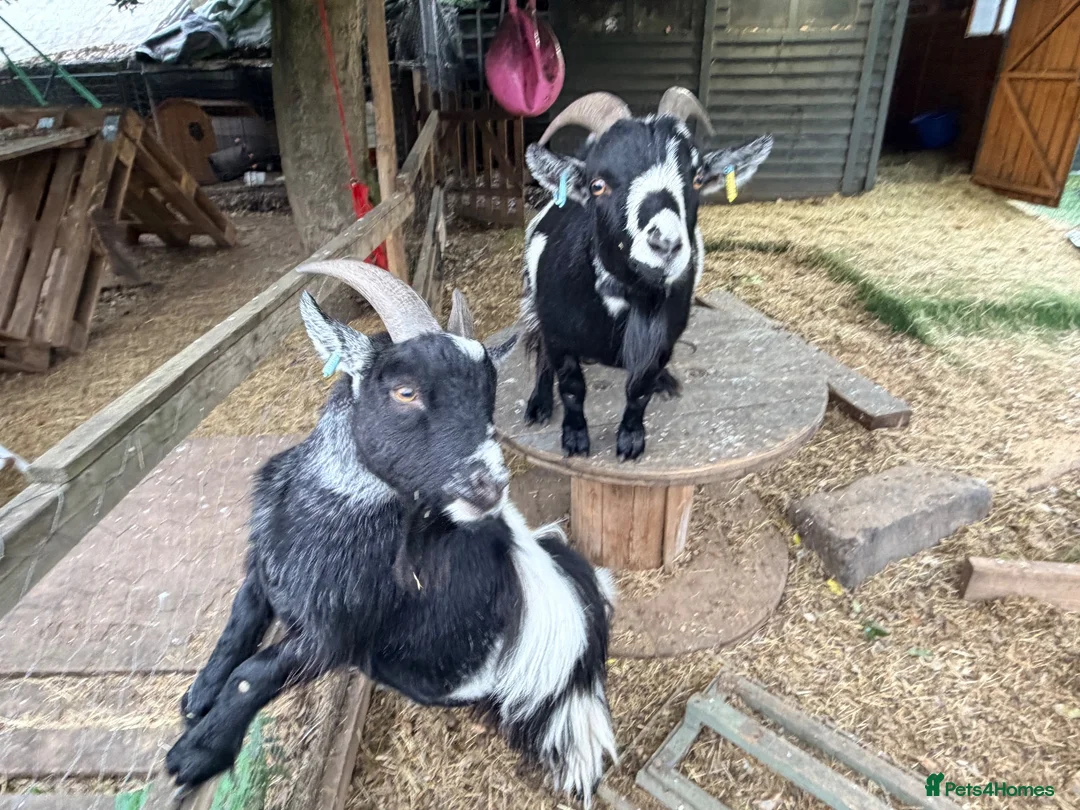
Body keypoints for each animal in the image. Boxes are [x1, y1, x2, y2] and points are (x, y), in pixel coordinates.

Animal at [165, 261, 617, 805]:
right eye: (405, 391)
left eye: (489, 395)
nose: (489, 487)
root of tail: (582, 655)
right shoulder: (264, 568)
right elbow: (239, 620)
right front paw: (198, 696)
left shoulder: (338, 631)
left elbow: (253, 674)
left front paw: (195, 753)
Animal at [520, 87, 773, 460]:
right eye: (597, 185)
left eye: (697, 179)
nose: (665, 243)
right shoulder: (557, 333)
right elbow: (570, 386)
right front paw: (575, 438)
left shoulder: (661, 340)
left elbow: (640, 389)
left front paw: (631, 440)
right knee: (537, 347)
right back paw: (538, 405)